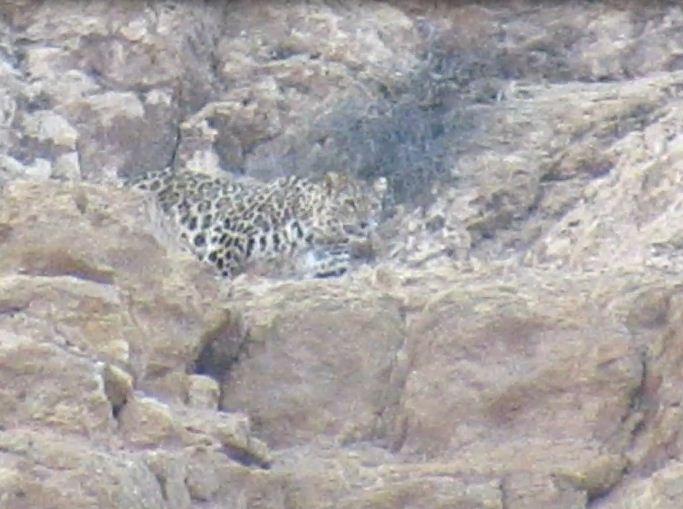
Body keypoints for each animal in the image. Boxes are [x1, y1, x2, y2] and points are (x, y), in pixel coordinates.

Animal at [126, 167, 387, 279]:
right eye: (350, 203)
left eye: (374, 205)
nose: (365, 224)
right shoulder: (230, 229)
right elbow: (218, 264)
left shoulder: (334, 260)